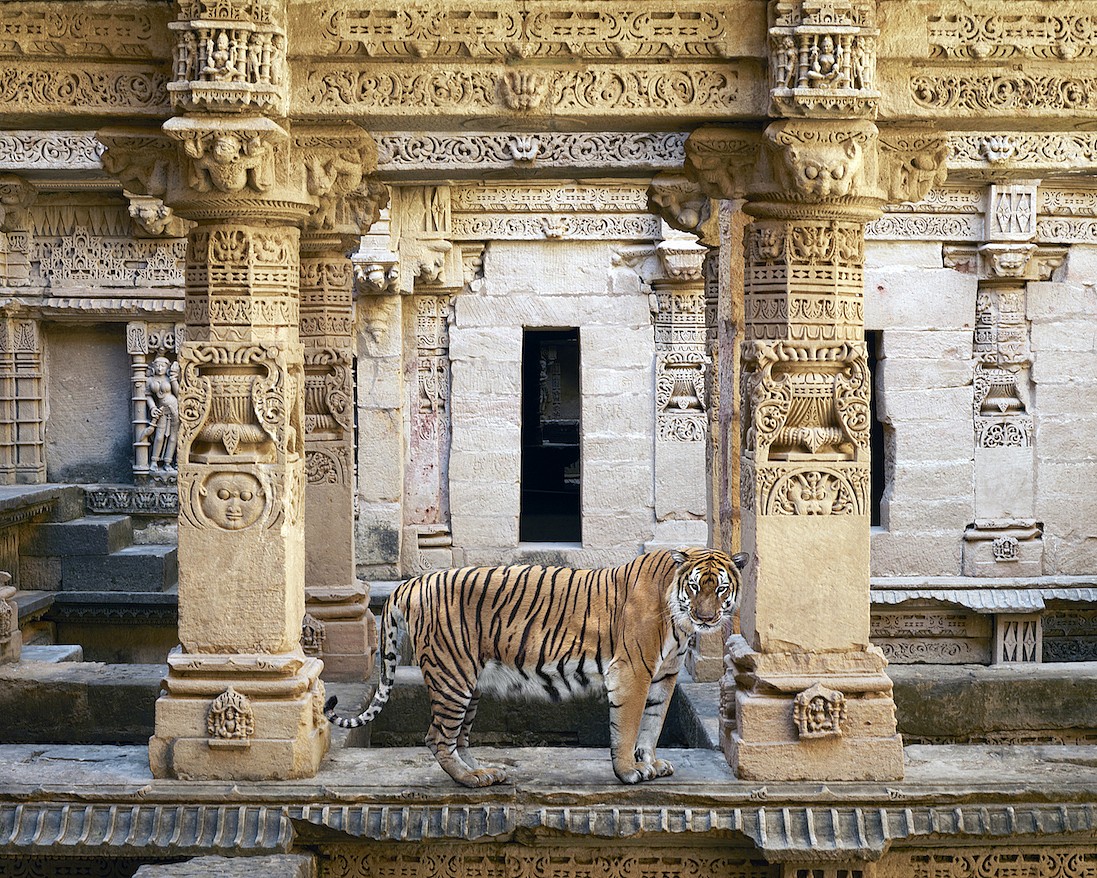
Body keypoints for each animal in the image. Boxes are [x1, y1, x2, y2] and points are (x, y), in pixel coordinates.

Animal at [322, 544, 745, 785]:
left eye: (721, 588)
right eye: (695, 587)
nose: (706, 618)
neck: (679, 620)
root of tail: (409, 583)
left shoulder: (665, 676)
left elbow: (652, 726)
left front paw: (651, 763)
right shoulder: (633, 673)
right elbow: (627, 728)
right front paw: (628, 771)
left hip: (469, 681)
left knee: (458, 738)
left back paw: (484, 770)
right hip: (452, 676)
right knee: (436, 738)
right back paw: (469, 780)